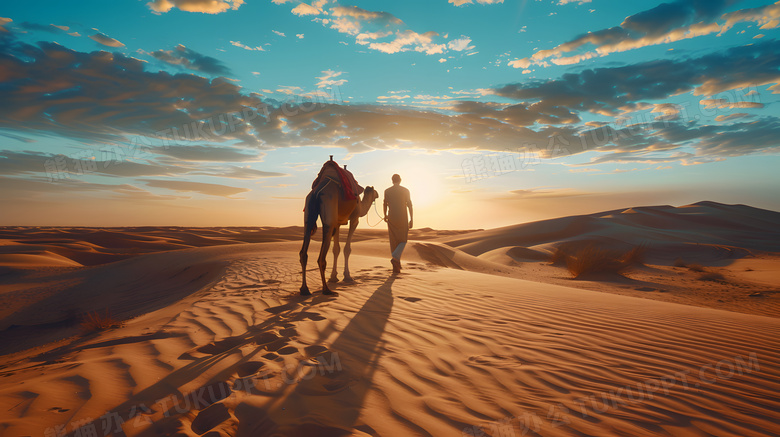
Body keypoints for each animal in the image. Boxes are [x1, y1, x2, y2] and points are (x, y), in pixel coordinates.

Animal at [298, 165, 378, 294]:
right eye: (374, 191)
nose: (378, 194)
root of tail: (316, 191)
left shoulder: (338, 223)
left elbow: (336, 249)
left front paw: (334, 277)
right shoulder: (354, 218)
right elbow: (347, 248)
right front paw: (347, 276)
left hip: (308, 213)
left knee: (303, 252)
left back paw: (304, 290)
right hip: (329, 208)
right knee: (321, 257)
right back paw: (326, 290)